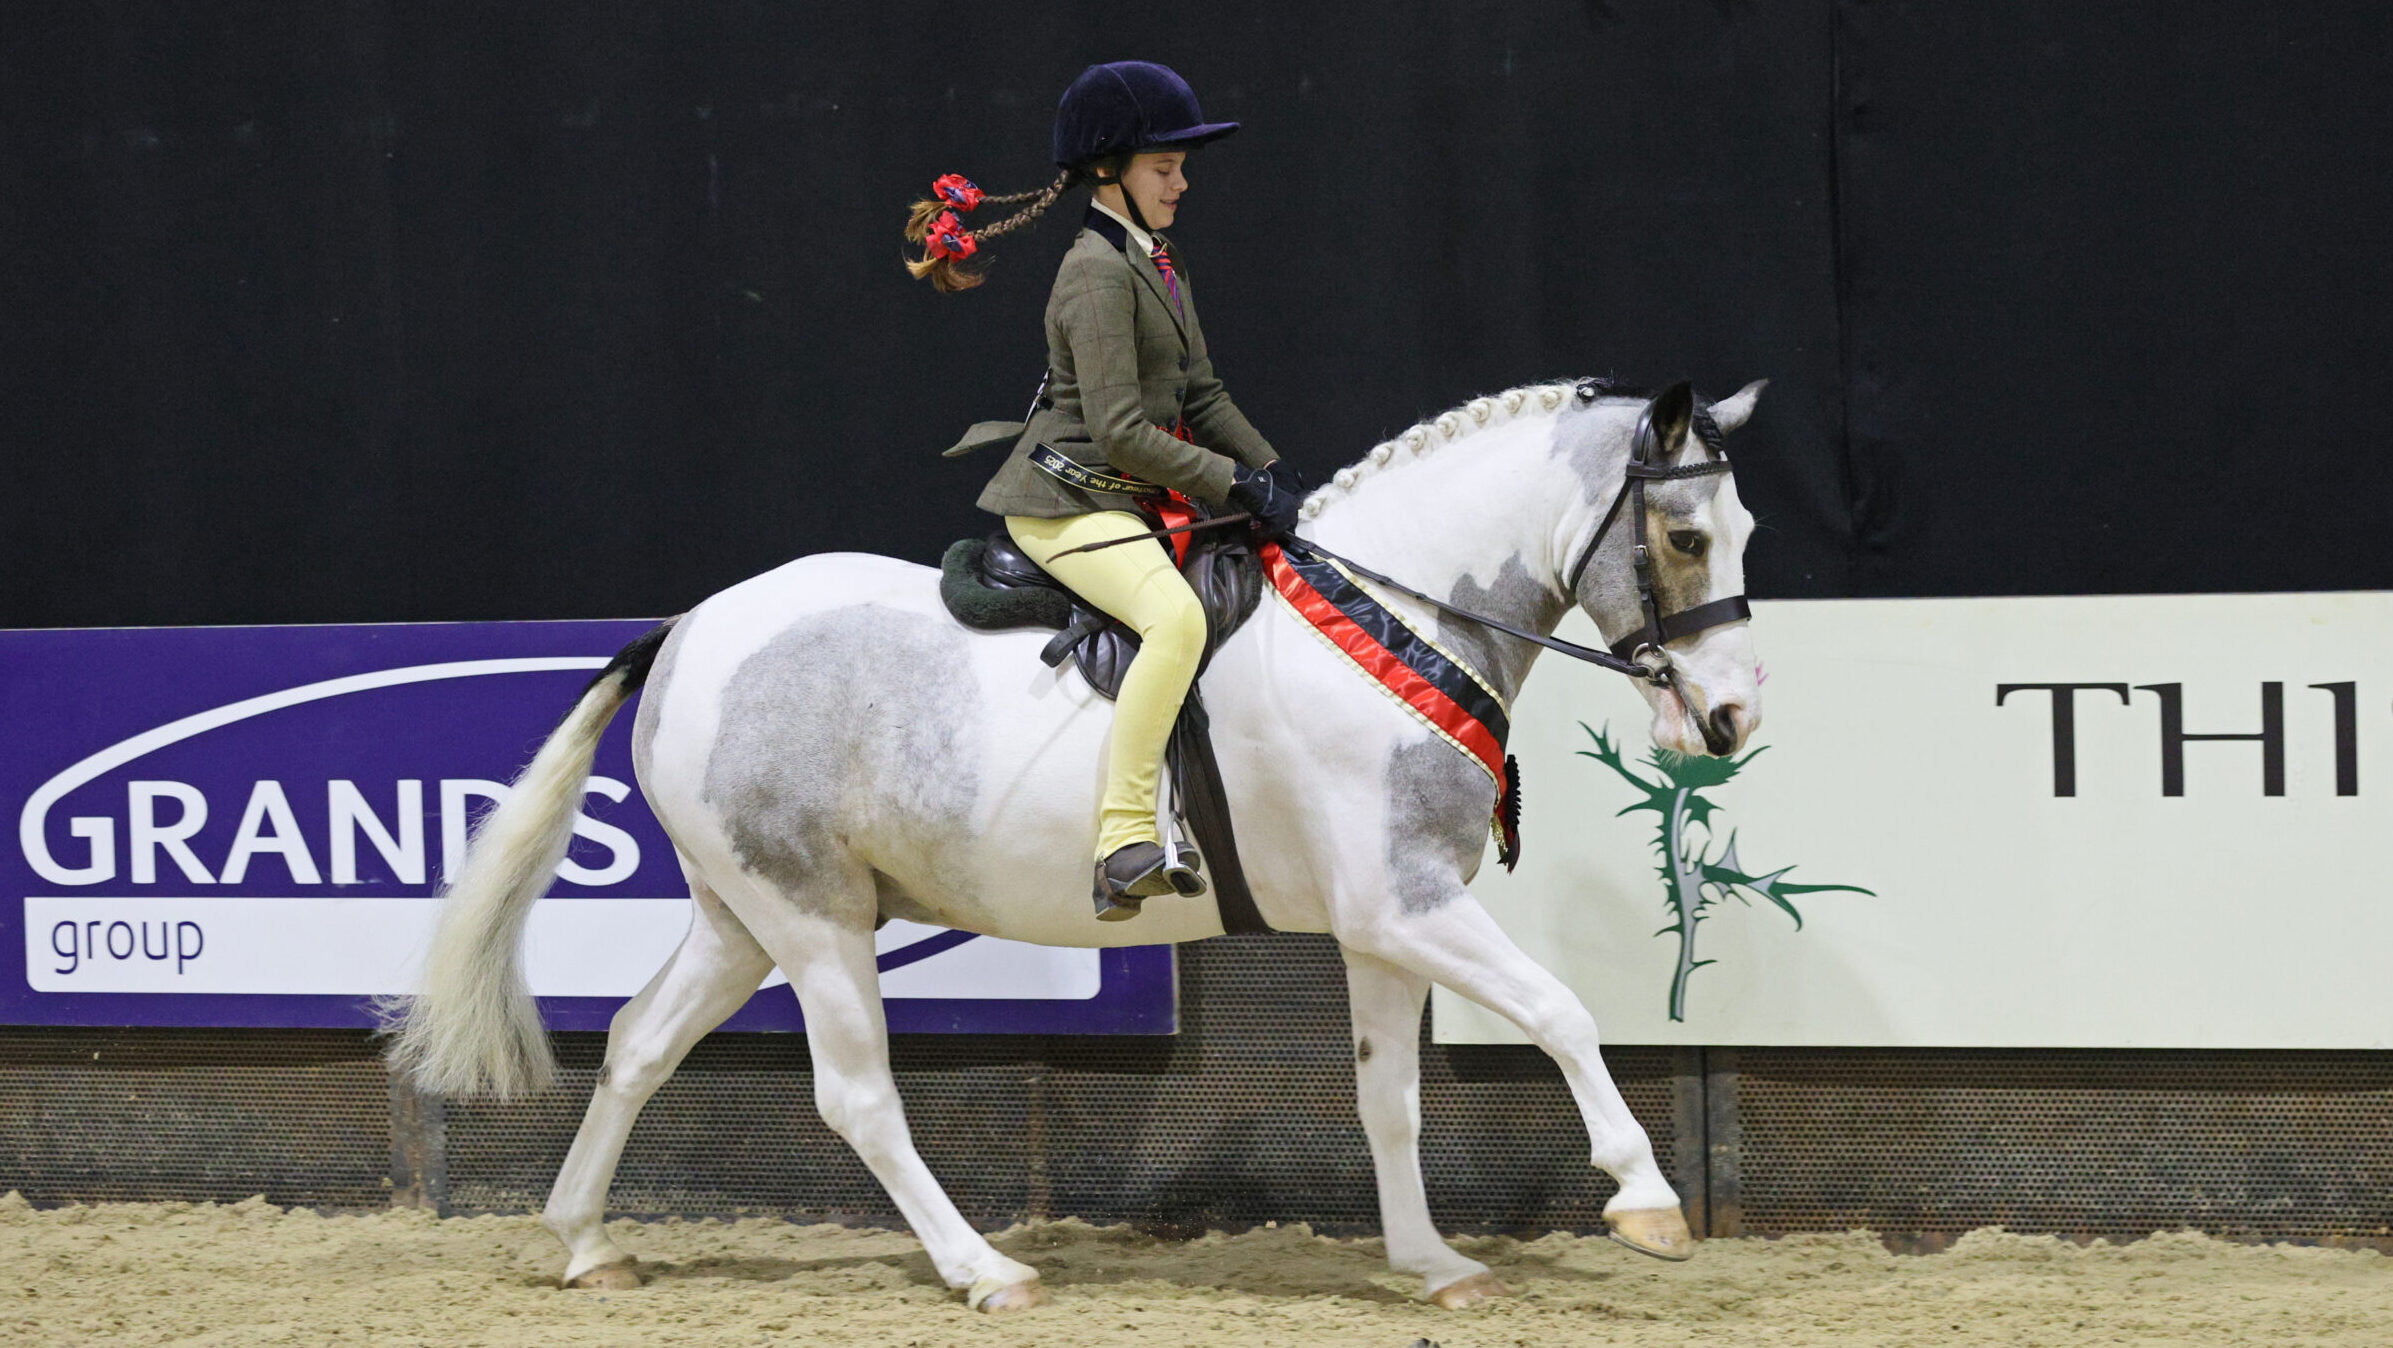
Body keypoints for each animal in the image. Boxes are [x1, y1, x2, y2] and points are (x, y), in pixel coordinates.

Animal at [386, 375, 1767, 1312]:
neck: (1388, 619)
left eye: (1739, 533)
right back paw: (984, 1267)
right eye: (1685, 537)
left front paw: (1430, 1262)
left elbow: (1389, 1099)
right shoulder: (1409, 905)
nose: (1730, 718)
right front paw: (1644, 1200)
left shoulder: (1383, 920)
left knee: (636, 1044)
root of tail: (684, 632)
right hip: (812, 917)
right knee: (856, 1096)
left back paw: (584, 1241)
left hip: (744, 913)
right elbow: (1561, 1012)